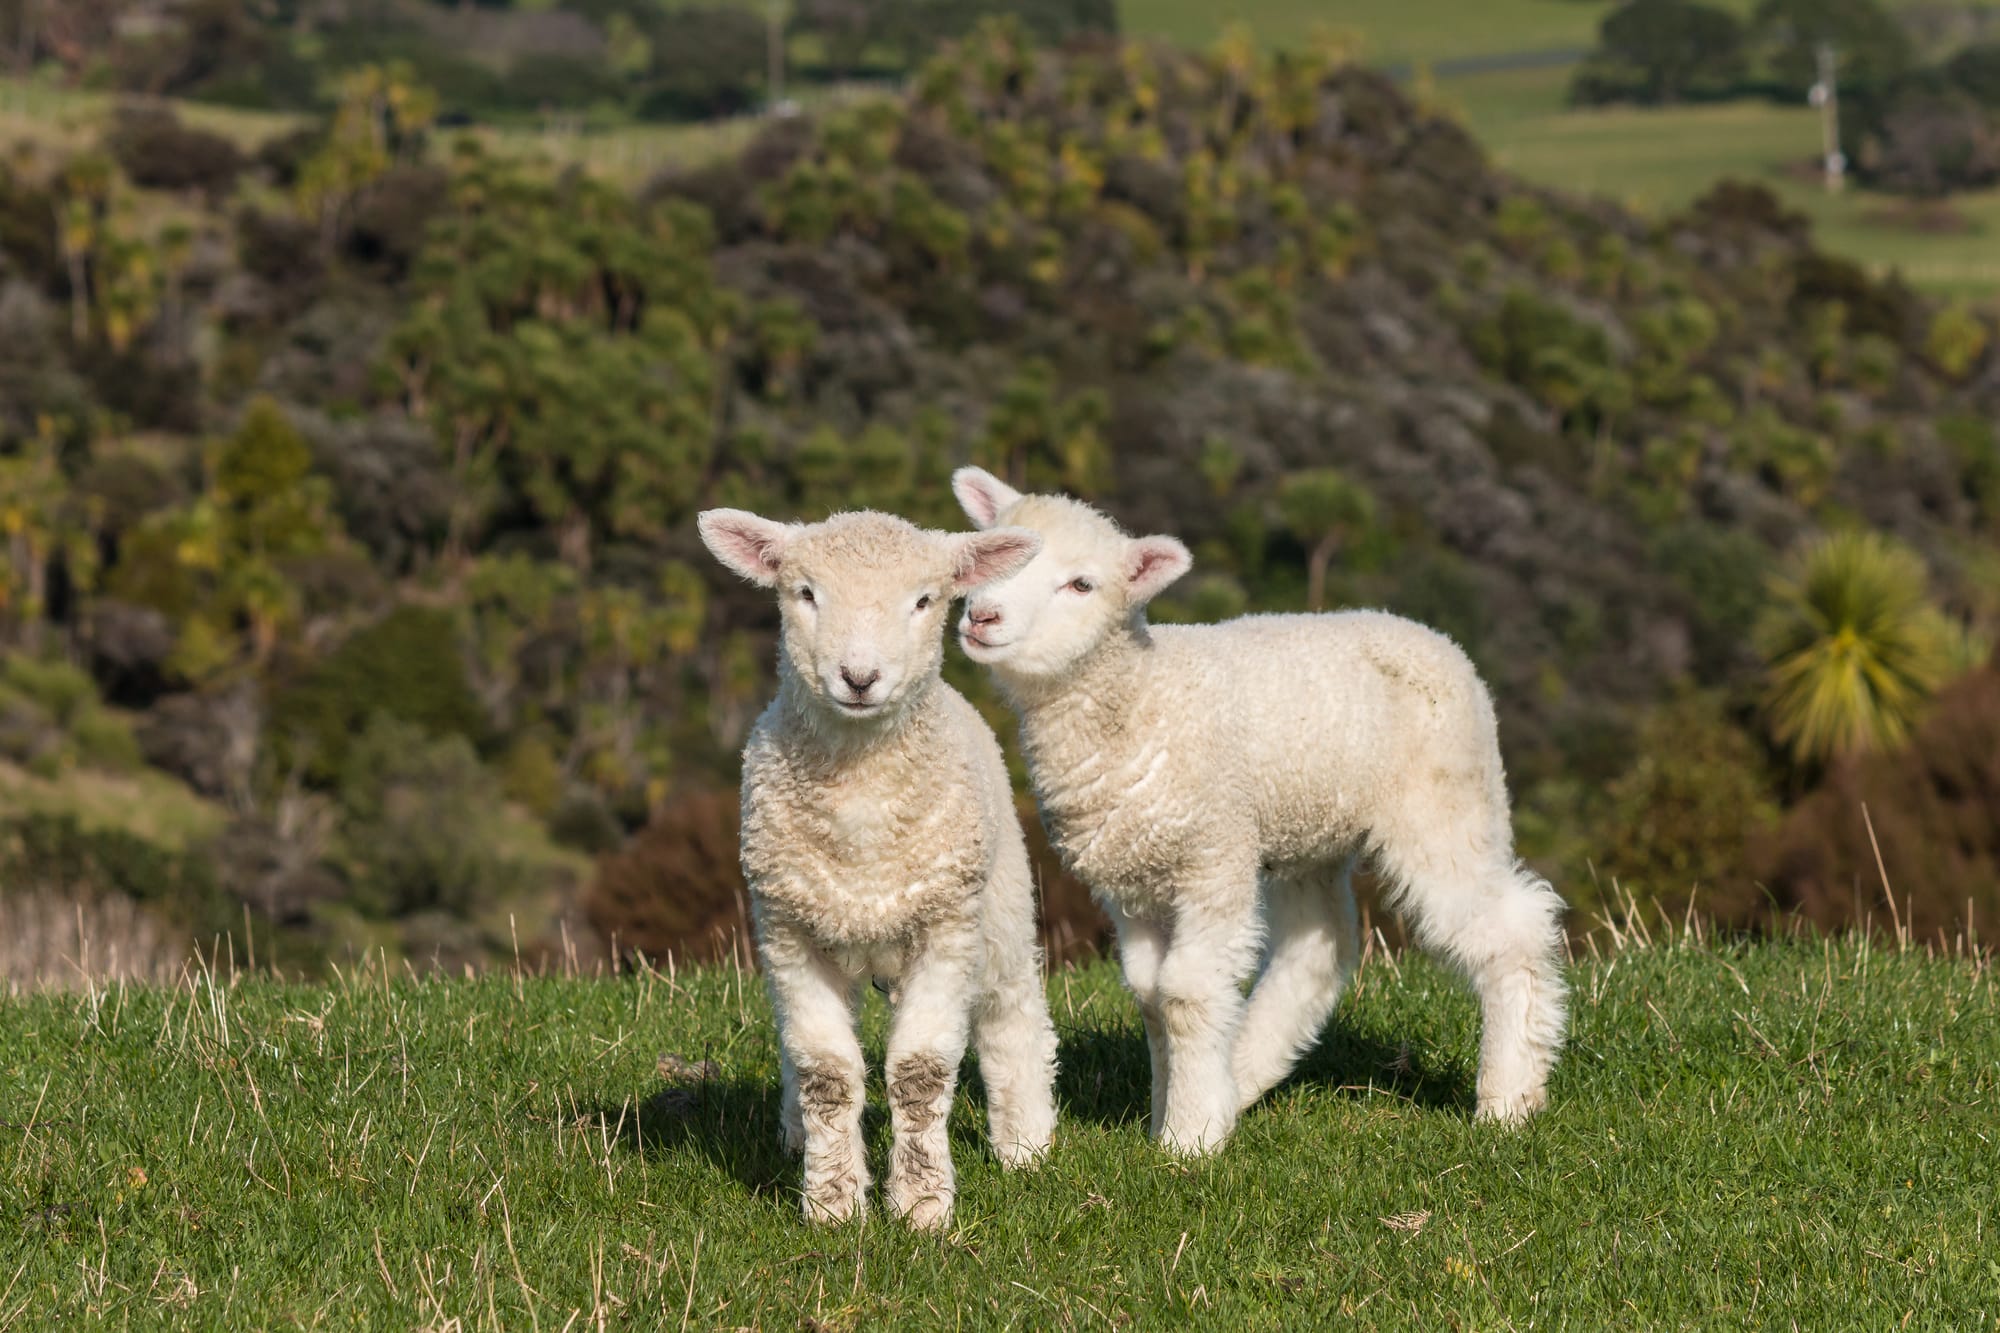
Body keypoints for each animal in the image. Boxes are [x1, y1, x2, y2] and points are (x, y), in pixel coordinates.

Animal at [696, 506, 1061, 1228]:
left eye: (923, 600)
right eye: (806, 593)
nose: (859, 677)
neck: (862, 811)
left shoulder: (945, 930)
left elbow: (919, 1072)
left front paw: (922, 1205)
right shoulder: (790, 932)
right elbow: (826, 1072)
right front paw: (833, 1202)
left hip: (1000, 903)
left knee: (1013, 1011)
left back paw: (1026, 1141)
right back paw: (794, 1134)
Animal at [949, 467, 1567, 1156]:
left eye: (1080, 584)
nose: (982, 615)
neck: (1139, 698)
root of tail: (1438, 640)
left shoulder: (1212, 857)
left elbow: (1185, 991)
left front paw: (1186, 1139)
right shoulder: (1131, 880)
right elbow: (1149, 994)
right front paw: (1174, 1113)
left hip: (1446, 804)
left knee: (1511, 927)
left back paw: (1509, 1100)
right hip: (1311, 828)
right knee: (1319, 948)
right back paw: (1240, 1076)